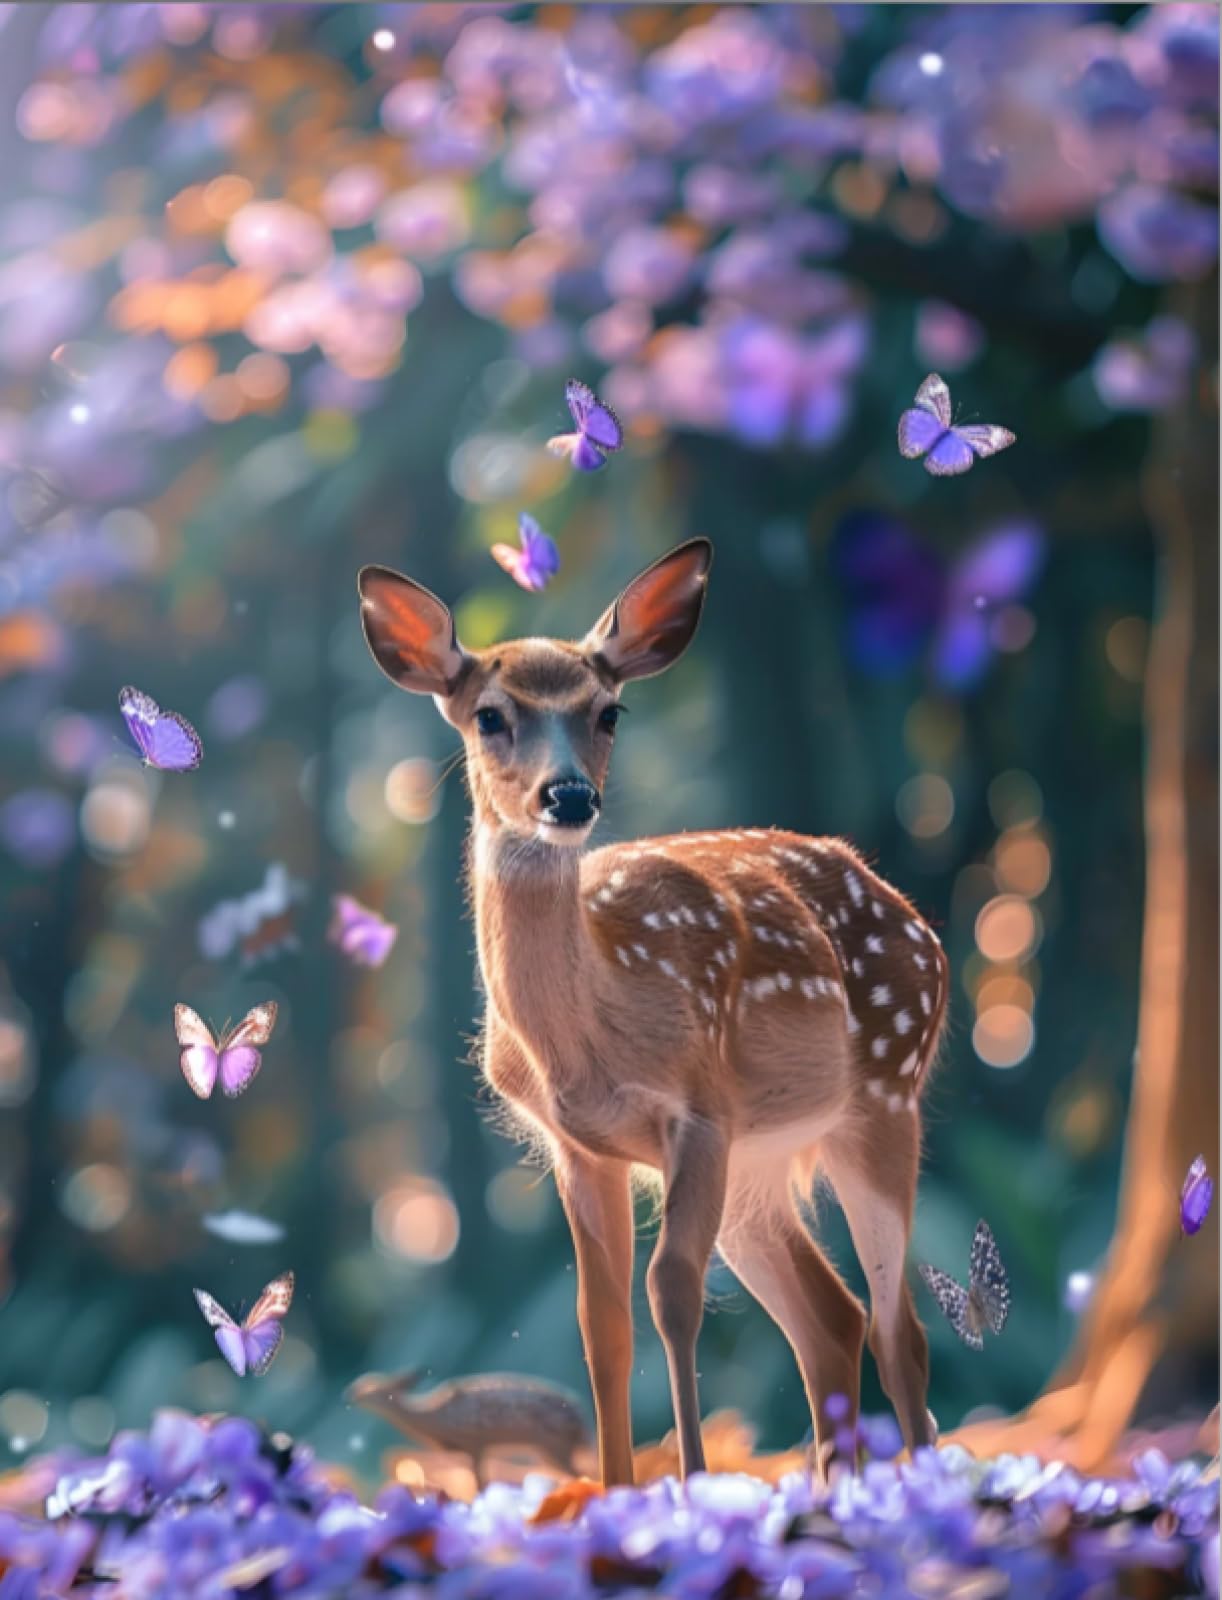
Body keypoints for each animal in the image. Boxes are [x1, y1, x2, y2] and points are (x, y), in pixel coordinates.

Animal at [357, 538, 949, 1488]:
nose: (568, 797)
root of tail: (920, 923)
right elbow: (601, 1325)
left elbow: (671, 1292)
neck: (587, 1036)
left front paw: (691, 1485)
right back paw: (832, 1495)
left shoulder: (699, 1109)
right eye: (489, 715)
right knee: (833, 1319)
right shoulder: (579, 1148)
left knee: (901, 1331)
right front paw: (613, 1493)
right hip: (761, 1164)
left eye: (609, 712)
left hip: (886, 1097)